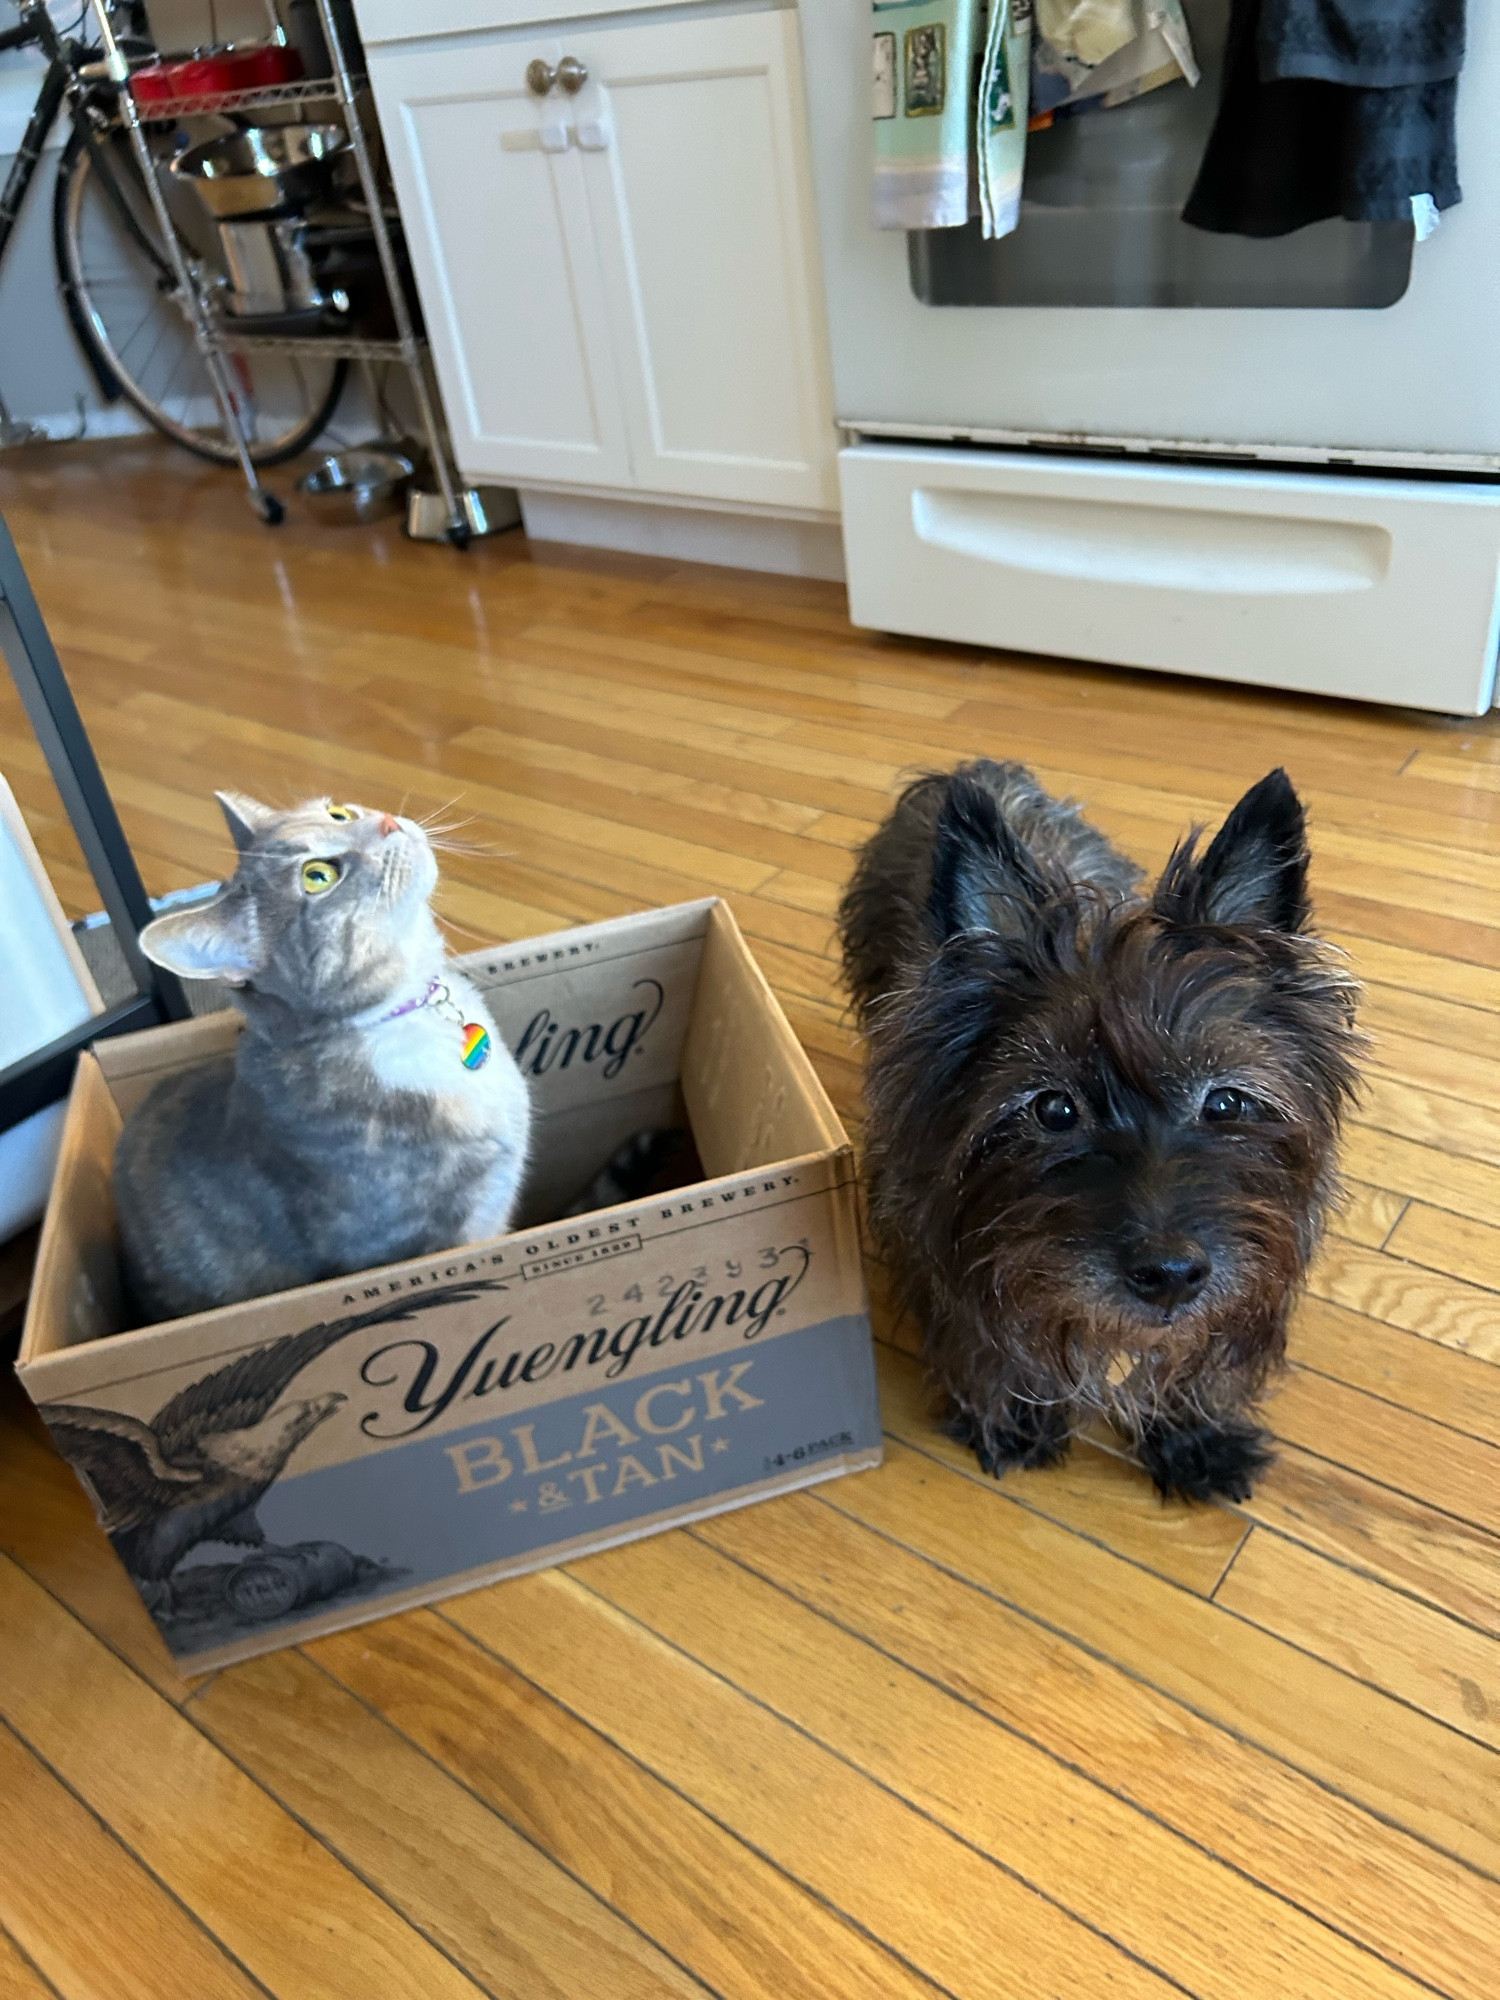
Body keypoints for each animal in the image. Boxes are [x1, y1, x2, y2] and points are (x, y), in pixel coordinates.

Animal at [840, 760, 1368, 1504]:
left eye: (1226, 1102)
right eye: (1054, 1109)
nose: (1171, 1275)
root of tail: (971, 769)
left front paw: (1194, 1434)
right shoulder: (945, 1243)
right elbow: (987, 1342)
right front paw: (1015, 1419)